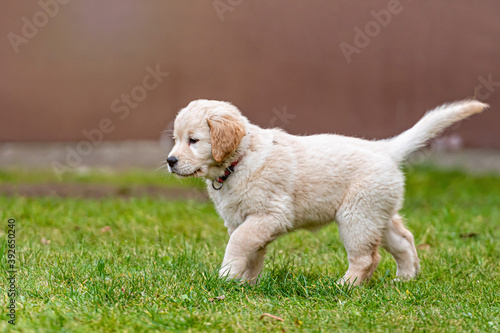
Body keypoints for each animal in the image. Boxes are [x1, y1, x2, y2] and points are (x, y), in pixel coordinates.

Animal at [168, 98, 488, 286]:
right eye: (176, 139)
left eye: (193, 140)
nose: (170, 161)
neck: (240, 159)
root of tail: (385, 149)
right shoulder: (243, 220)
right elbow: (252, 252)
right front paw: (244, 283)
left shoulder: (268, 216)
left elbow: (238, 244)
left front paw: (225, 277)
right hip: (376, 215)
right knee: (403, 241)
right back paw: (405, 279)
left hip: (356, 217)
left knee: (367, 258)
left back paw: (345, 286)